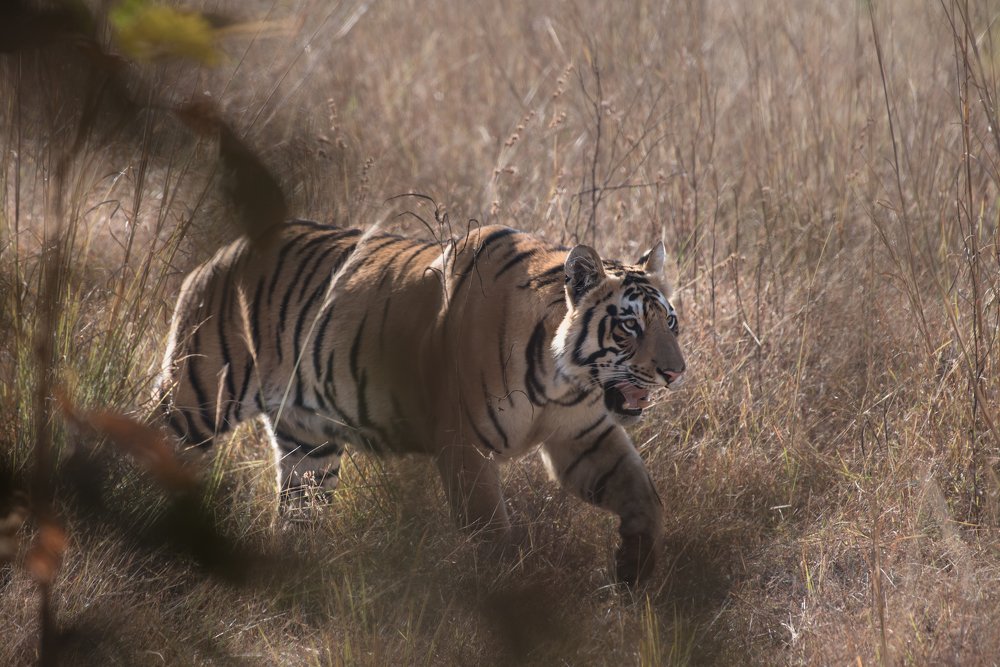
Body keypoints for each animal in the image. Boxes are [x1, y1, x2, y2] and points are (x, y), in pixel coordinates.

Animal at [155, 220, 686, 584]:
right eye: (629, 326)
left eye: (670, 322)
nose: (675, 372)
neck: (563, 380)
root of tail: (223, 251)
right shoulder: (465, 447)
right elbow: (491, 529)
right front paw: (510, 589)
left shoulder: (583, 437)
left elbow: (644, 496)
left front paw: (636, 568)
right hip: (196, 397)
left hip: (308, 445)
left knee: (297, 511)